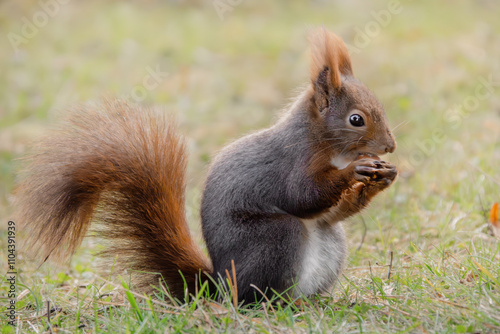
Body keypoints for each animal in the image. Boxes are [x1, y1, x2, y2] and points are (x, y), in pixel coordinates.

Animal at [13, 28, 398, 304]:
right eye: (356, 119)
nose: (390, 146)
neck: (325, 144)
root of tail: (220, 286)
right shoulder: (292, 162)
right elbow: (303, 197)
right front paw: (355, 172)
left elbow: (331, 211)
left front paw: (381, 178)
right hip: (274, 240)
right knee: (258, 295)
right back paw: (283, 304)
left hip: (332, 242)